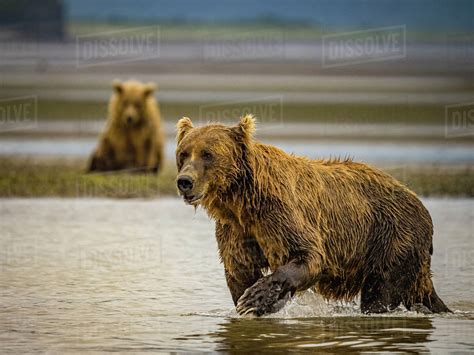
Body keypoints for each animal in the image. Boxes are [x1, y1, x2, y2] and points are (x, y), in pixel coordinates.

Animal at [173, 114, 448, 318]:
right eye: (183, 154)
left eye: (208, 154)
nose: (185, 181)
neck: (241, 200)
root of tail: (421, 205)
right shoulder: (236, 228)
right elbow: (239, 268)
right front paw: (250, 300)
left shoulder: (279, 213)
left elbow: (308, 255)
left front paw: (255, 299)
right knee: (418, 292)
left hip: (392, 236)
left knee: (380, 291)